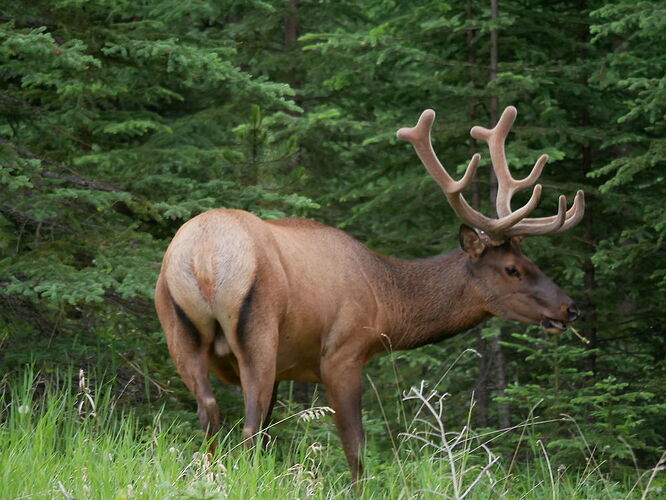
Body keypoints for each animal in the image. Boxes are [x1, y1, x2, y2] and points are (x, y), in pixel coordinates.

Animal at [154, 104, 580, 480]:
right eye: (512, 269)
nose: (569, 308)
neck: (386, 302)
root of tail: (204, 256)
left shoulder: (290, 368)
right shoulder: (343, 354)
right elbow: (356, 449)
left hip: (178, 330)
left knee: (210, 410)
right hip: (259, 332)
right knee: (249, 425)